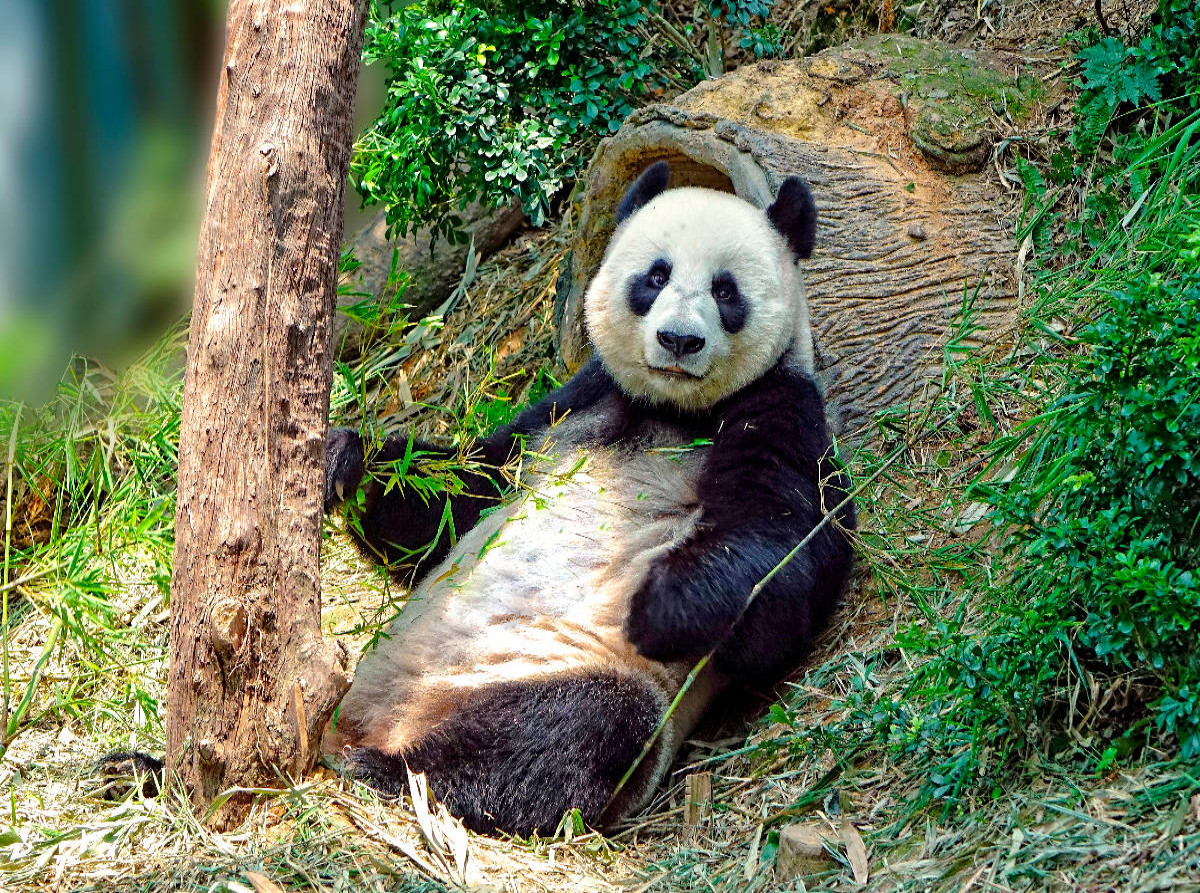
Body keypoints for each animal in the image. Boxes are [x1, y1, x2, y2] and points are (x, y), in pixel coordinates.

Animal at [322, 161, 856, 836]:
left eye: (726, 291)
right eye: (655, 276)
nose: (678, 341)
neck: (671, 410)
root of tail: (390, 719)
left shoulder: (782, 410)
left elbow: (785, 565)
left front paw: (664, 606)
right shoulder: (574, 403)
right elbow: (459, 498)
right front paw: (346, 460)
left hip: (553, 668)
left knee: (571, 730)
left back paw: (395, 772)